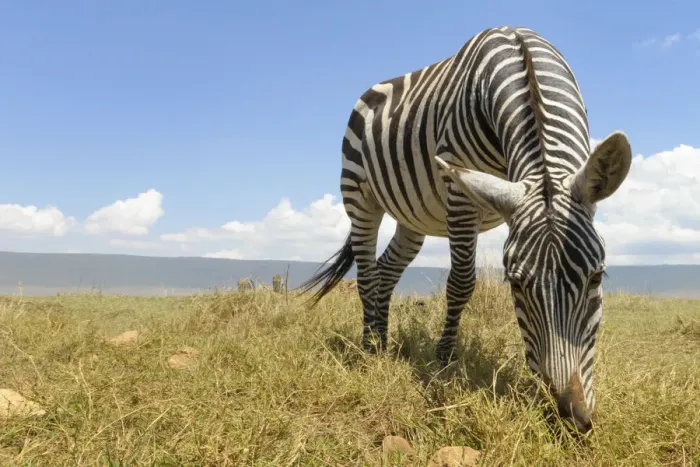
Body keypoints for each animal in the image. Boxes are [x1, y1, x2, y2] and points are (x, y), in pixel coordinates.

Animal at [299, 25, 631, 433]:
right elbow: (461, 282)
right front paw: (443, 362)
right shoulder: (459, 188)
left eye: (597, 277)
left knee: (387, 269)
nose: (572, 417)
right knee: (366, 273)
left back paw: (383, 342)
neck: (523, 61)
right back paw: (370, 348)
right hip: (359, 194)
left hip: (413, 215)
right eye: (515, 285)